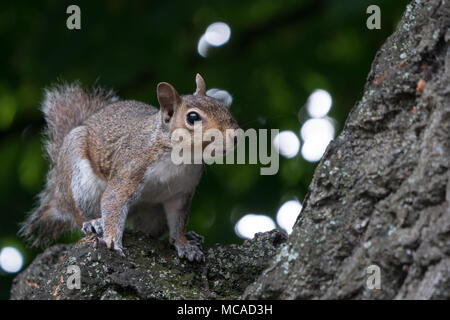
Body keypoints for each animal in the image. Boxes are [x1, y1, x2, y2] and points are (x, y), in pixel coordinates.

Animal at [18, 74, 239, 262]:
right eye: (193, 117)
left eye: (224, 107)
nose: (236, 135)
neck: (180, 158)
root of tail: (59, 193)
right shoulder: (130, 168)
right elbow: (113, 200)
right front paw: (112, 240)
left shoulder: (180, 192)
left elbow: (178, 221)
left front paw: (184, 243)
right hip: (80, 180)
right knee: (81, 212)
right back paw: (93, 223)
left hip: (153, 214)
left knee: (148, 231)